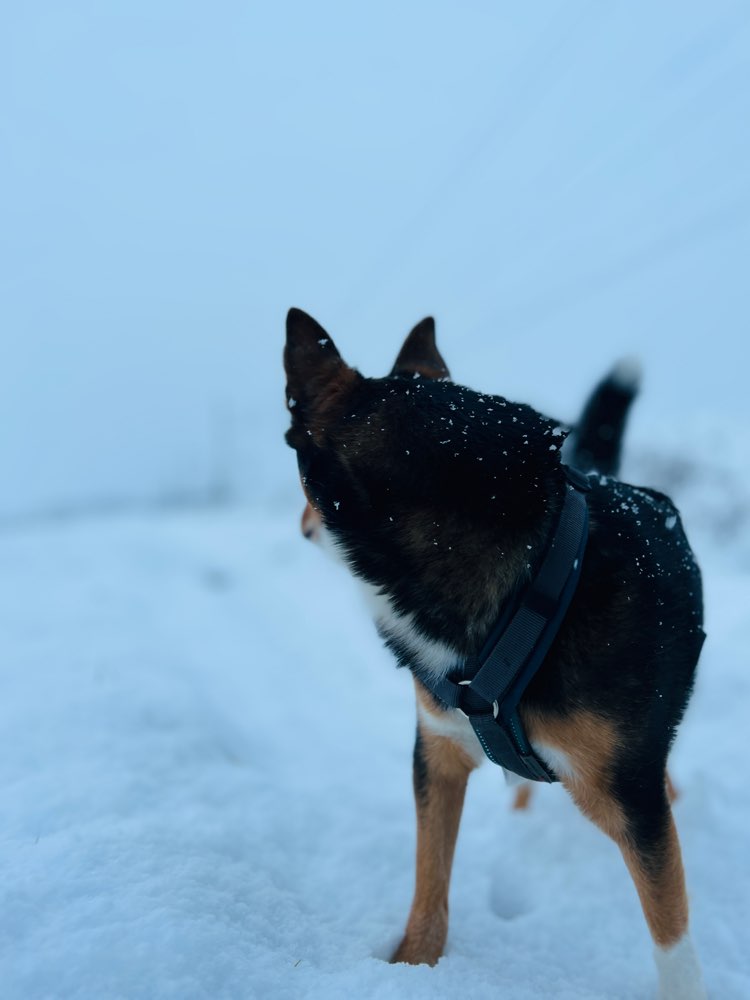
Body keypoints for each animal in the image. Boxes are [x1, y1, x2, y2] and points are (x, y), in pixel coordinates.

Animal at [284, 308, 708, 996]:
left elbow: (671, 935)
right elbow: (430, 884)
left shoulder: (632, 794)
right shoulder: (437, 751)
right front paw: (414, 967)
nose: (300, 524)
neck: (532, 585)